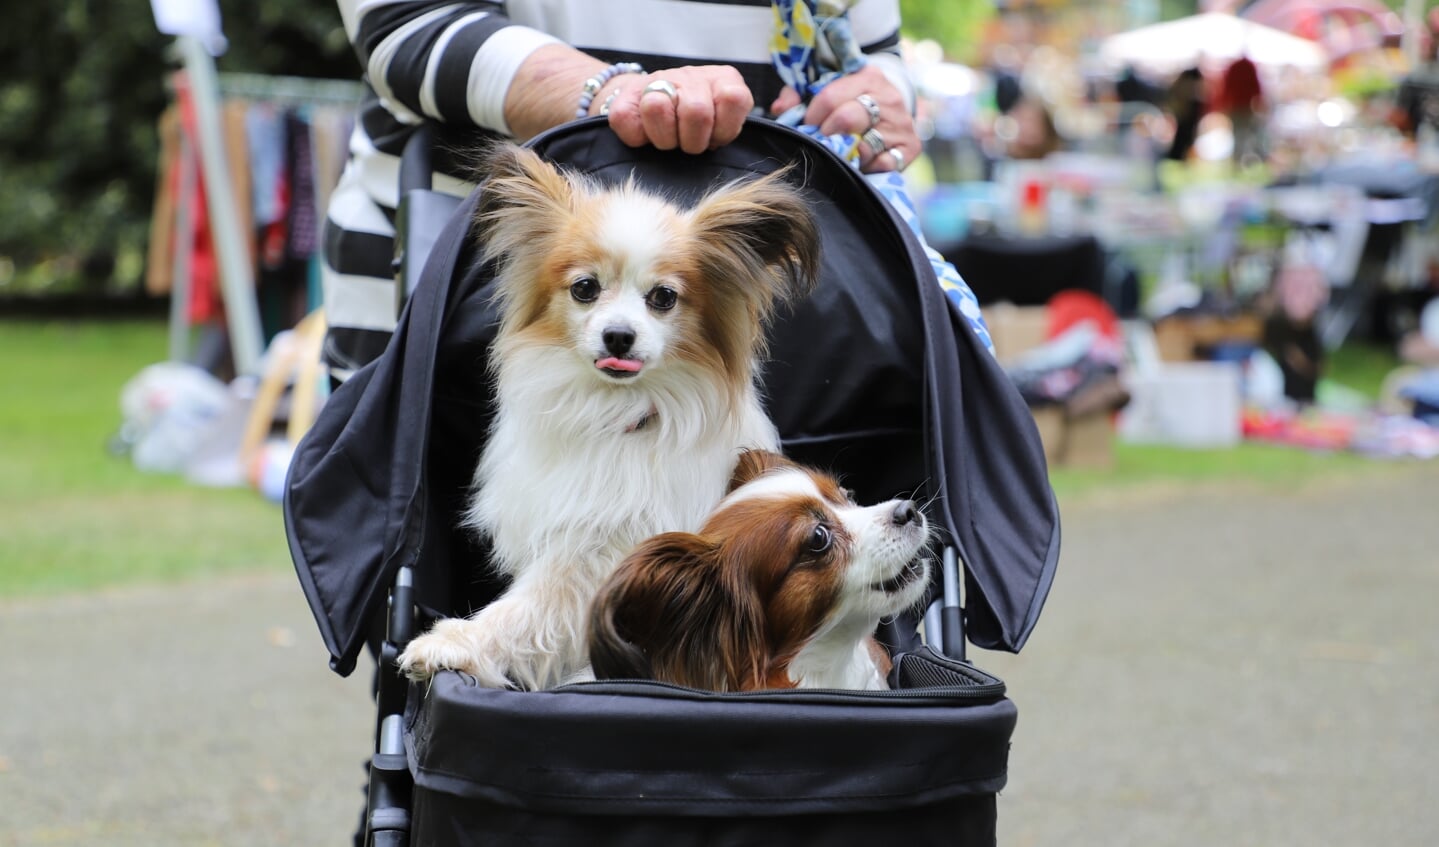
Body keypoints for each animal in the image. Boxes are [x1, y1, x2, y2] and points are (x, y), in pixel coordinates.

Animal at [394, 145, 823, 687]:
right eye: (584, 288)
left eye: (663, 297)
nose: (619, 336)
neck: (617, 415)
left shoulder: (596, 556)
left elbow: (525, 609)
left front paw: (454, 643)